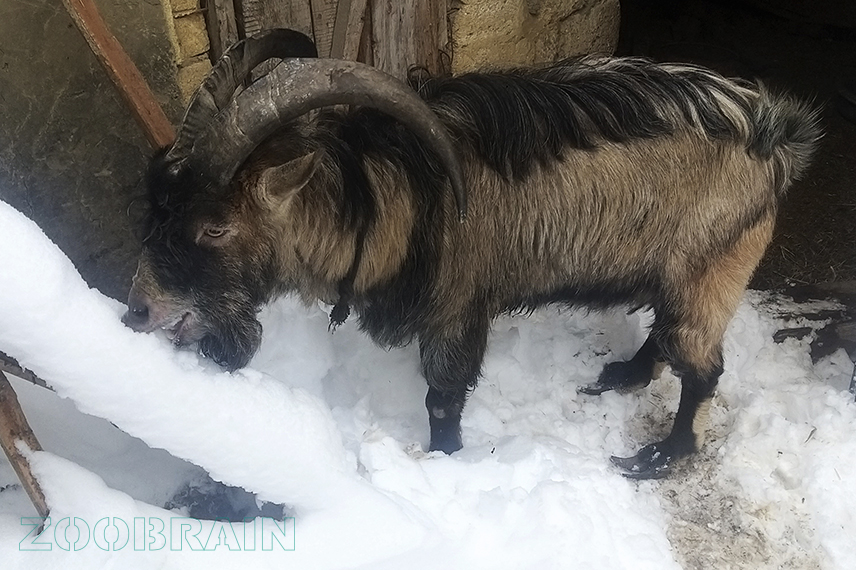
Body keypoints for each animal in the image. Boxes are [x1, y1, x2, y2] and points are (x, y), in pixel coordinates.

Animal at [123, 29, 821, 478]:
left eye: (215, 228)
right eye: (156, 207)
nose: (138, 312)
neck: (386, 193)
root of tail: (777, 135)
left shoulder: (458, 309)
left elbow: (442, 397)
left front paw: (445, 463)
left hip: (712, 269)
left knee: (702, 366)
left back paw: (661, 458)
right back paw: (625, 374)